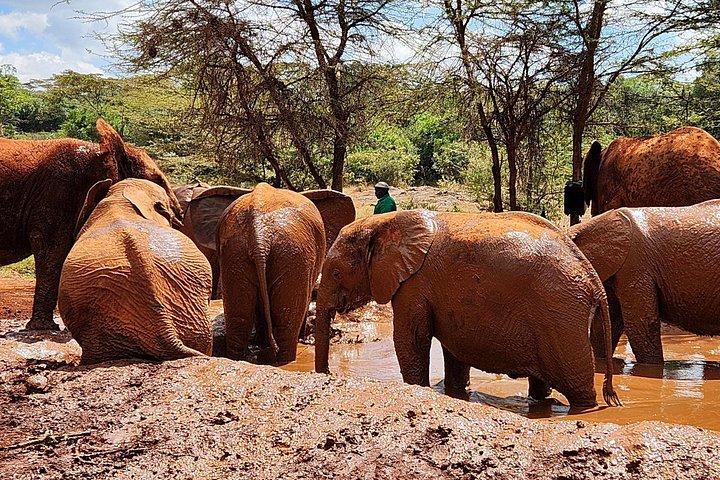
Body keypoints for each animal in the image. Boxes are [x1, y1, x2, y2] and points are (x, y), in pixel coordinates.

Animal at [314, 210, 621, 409]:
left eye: (337, 273)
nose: (328, 375)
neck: (385, 222)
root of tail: (593, 280)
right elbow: (453, 348)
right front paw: (454, 393)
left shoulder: (414, 284)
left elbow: (411, 340)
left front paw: (419, 389)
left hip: (560, 314)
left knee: (577, 383)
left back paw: (584, 408)